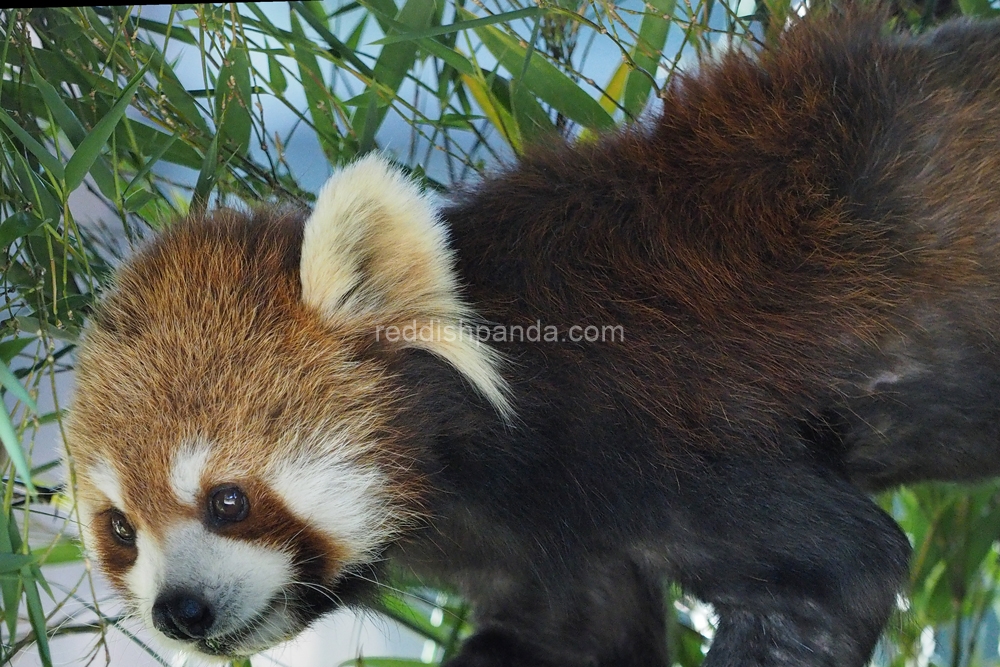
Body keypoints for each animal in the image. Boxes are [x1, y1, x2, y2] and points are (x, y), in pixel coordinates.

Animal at [64, 9, 1000, 667]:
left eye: (228, 499)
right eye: (120, 528)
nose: (178, 608)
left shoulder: (652, 438)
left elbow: (841, 572)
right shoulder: (549, 555)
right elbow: (579, 634)